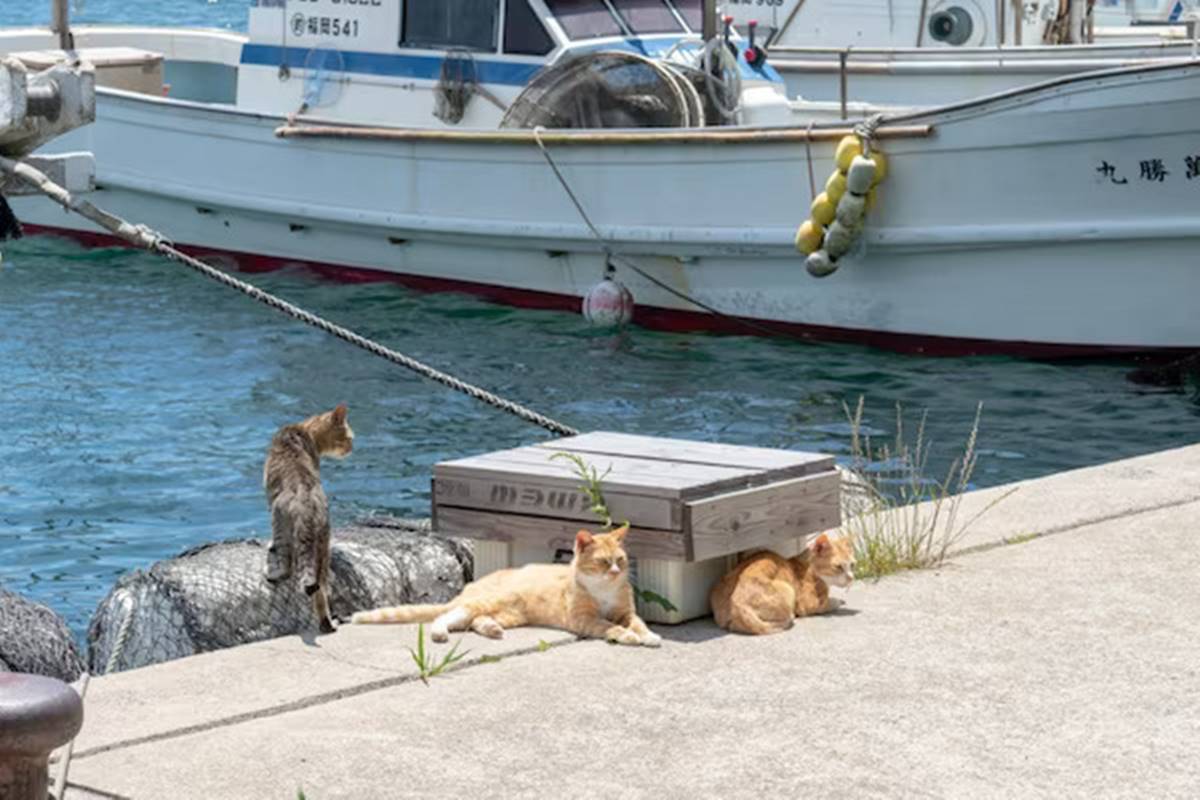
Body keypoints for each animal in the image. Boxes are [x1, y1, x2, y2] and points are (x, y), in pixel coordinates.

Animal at [262, 402, 350, 633]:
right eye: (348, 437)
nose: (351, 447)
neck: (304, 430)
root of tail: (309, 509)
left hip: (279, 519)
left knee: (287, 565)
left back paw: (273, 574)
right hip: (323, 549)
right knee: (321, 590)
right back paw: (327, 623)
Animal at [350, 525, 662, 652]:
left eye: (620, 560)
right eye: (602, 562)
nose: (616, 571)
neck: (604, 590)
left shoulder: (626, 612)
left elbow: (638, 623)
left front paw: (648, 636)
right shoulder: (583, 619)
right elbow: (611, 627)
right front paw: (628, 636)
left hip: (509, 614)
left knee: (474, 620)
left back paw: (492, 629)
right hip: (491, 600)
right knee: (447, 616)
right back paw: (439, 633)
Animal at [710, 532, 854, 638]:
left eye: (852, 565)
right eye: (838, 567)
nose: (851, 578)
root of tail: (737, 606)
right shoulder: (810, 605)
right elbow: (830, 603)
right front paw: (838, 601)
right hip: (788, 589)